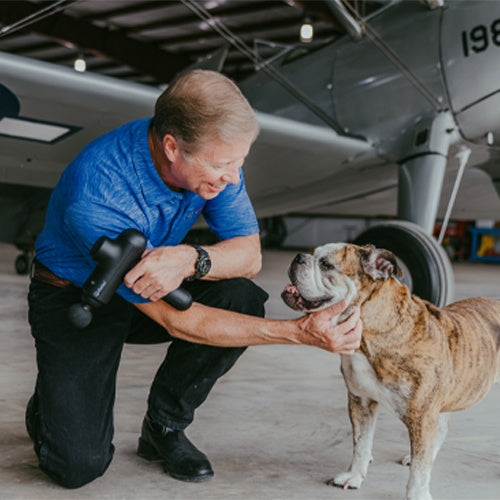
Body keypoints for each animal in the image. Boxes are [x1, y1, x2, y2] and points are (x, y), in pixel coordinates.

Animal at [282, 243, 500, 500]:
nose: (299, 257)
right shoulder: (361, 402)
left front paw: (417, 493)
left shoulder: (422, 414)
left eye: (326, 264)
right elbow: (361, 443)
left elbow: (419, 467)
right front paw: (354, 476)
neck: (371, 333)